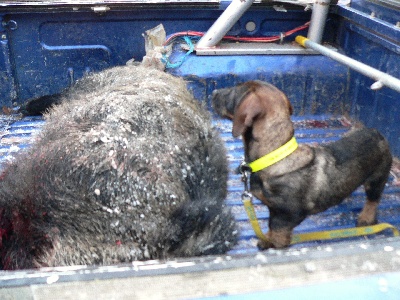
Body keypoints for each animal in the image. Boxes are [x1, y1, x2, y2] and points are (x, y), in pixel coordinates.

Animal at [214, 81, 392, 250]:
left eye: (233, 92)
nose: (214, 92)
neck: (274, 156)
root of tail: (377, 133)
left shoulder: (288, 215)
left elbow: (278, 231)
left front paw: (274, 244)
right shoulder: (274, 210)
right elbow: (271, 227)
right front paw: (266, 239)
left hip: (377, 178)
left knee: (373, 200)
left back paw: (366, 218)